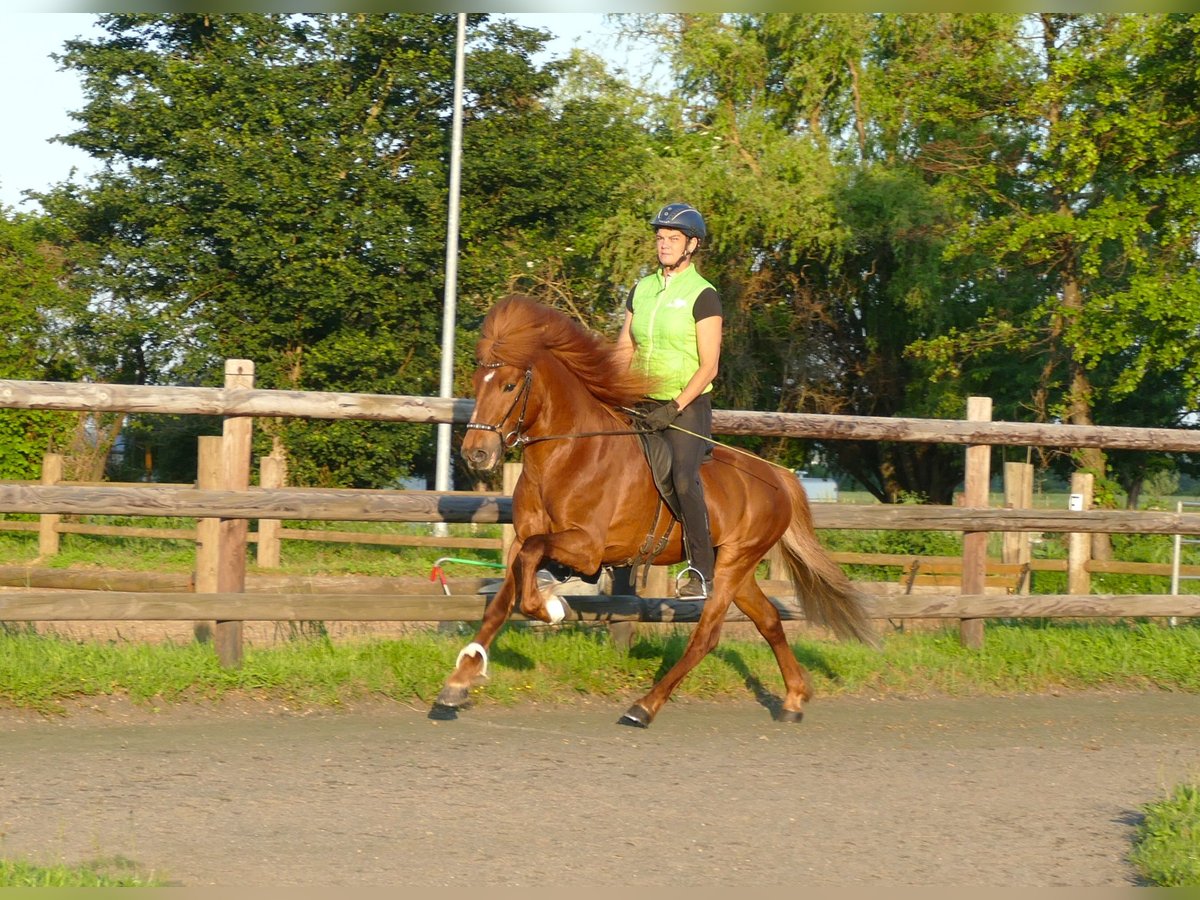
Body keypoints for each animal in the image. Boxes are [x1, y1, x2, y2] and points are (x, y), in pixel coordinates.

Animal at [436, 292, 878, 729]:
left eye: (509, 385)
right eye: (477, 384)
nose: (476, 454)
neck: (568, 454)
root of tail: (778, 477)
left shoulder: (587, 548)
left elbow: (531, 568)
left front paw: (550, 607)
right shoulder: (526, 541)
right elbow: (501, 602)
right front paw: (456, 685)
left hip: (734, 564)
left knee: (707, 636)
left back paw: (644, 707)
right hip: (737, 566)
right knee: (768, 619)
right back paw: (793, 699)